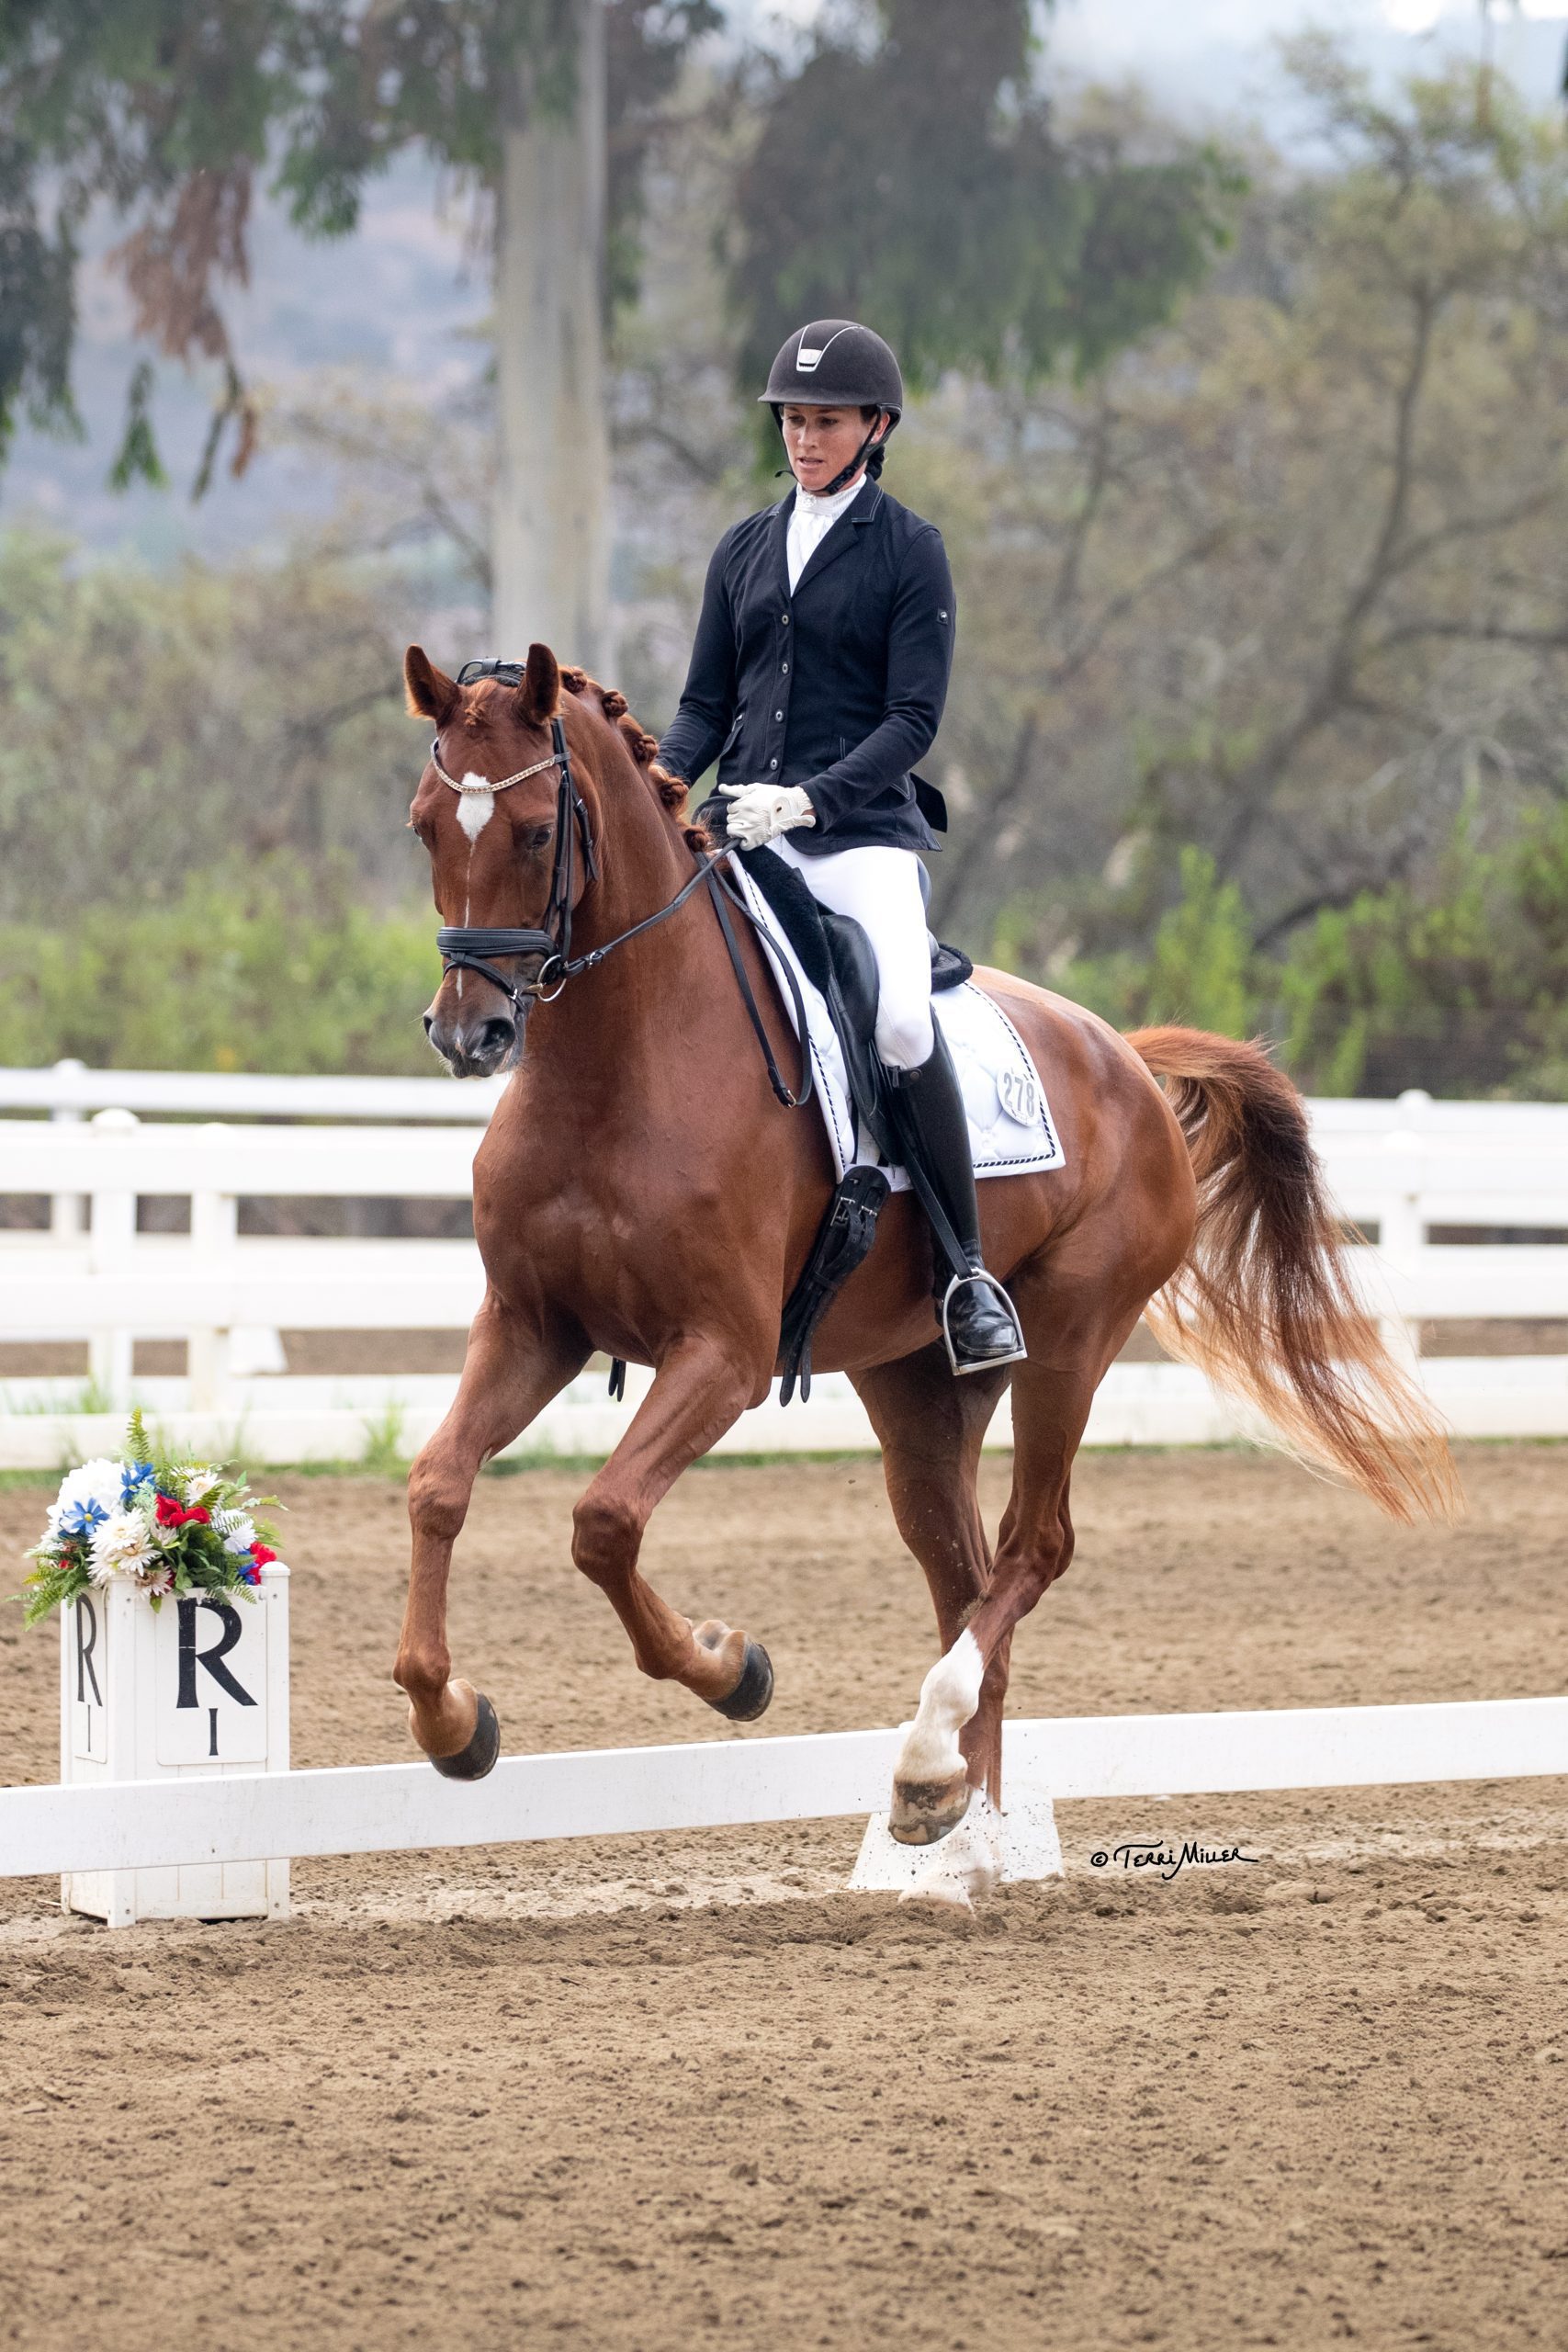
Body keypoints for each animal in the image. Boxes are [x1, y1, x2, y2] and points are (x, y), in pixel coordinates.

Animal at [393, 639, 1456, 1882]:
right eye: (426, 826)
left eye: (531, 833)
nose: (470, 1034)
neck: (619, 1064)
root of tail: (1126, 1056)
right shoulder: (531, 1327)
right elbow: (439, 1484)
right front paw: (449, 1718)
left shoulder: (722, 1355)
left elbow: (604, 1520)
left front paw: (731, 1667)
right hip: (914, 1386)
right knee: (963, 1575)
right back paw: (954, 1826)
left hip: (1071, 1339)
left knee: (1032, 1551)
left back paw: (926, 1759)